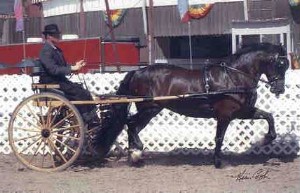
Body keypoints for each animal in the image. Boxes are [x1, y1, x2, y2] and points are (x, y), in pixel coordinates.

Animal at [95, 43, 290, 168]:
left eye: (286, 65)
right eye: (280, 64)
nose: (279, 89)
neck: (233, 77)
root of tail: (137, 71)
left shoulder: (243, 112)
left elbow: (269, 116)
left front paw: (263, 140)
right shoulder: (224, 115)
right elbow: (219, 138)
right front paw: (218, 162)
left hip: (149, 110)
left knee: (132, 126)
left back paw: (134, 157)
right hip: (150, 108)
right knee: (130, 124)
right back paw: (137, 153)